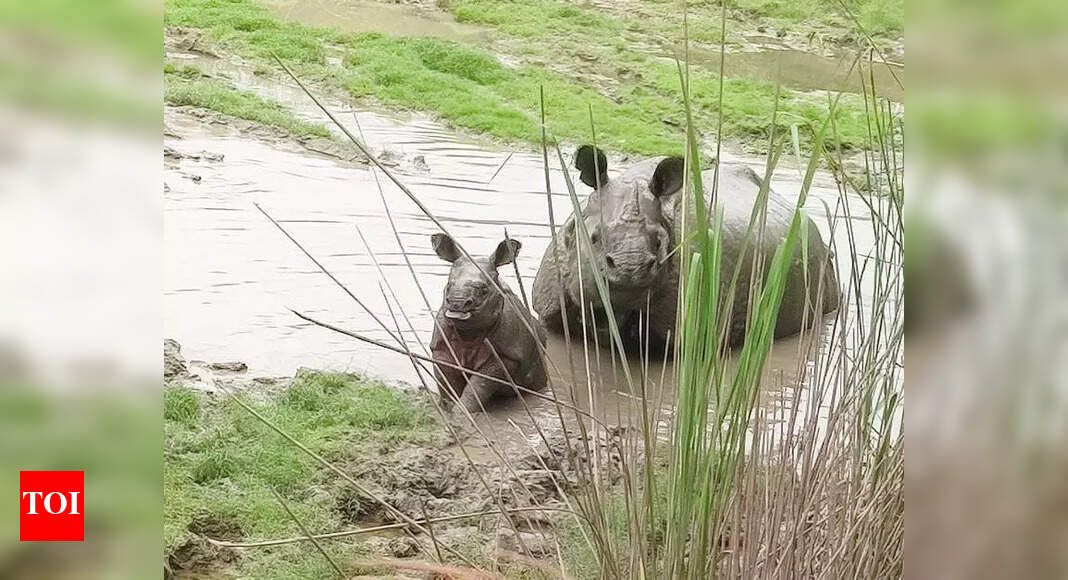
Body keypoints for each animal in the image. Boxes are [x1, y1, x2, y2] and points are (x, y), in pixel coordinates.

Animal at [430, 233, 548, 412]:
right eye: (448, 285)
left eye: (484, 290)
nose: (457, 303)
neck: (469, 333)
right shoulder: (441, 345)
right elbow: (447, 378)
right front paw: (449, 407)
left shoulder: (506, 355)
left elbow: (481, 383)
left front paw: (464, 411)